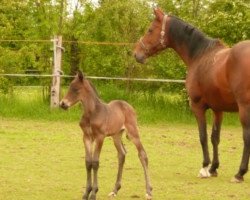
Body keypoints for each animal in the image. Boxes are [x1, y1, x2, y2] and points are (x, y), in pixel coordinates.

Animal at [60, 70, 152, 200]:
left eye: (76, 89)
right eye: (69, 87)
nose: (62, 104)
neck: (92, 113)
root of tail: (128, 106)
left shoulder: (100, 137)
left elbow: (95, 162)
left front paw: (94, 193)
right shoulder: (86, 137)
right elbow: (88, 162)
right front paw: (86, 193)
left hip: (133, 133)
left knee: (142, 154)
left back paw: (148, 191)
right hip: (116, 136)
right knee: (122, 154)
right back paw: (114, 190)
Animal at [134, 7, 250, 183]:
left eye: (150, 30)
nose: (136, 53)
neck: (199, 56)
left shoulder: (197, 106)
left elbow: (202, 136)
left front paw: (204, 168)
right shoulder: (218, 110)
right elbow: (215, 137)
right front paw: (214, 168)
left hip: (244, 109)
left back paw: (239, 174)